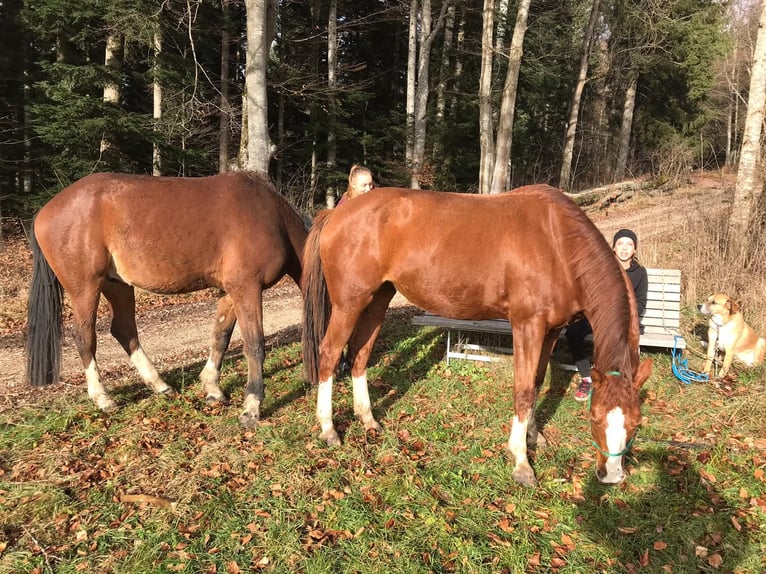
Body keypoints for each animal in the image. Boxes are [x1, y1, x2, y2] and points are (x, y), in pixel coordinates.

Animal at [27, 171, 308, 428]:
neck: (272, 217)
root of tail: (44, 212)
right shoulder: (247, 288)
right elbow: (254, 344)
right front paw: (252, 407)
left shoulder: (231, 291)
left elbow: (220, 336)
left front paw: (213, 389)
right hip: (86, 288)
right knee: (85, 337)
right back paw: (103, 398)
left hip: (117, 285)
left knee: (124, 330)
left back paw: (161, 386)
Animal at [304, 187, 656, 488]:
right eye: (594, 418)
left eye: (637, 423)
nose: (611, 476)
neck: (558, 243)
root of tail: (336, 213)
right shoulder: (527, 325)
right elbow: (524, 390)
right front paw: (521, 462)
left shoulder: (552, 329)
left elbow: (538, 381)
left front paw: (534, 437)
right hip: (349, 304)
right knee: (329, 354)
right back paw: (329, 429)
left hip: (377, 300)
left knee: (360, 356)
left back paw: (368, 420)